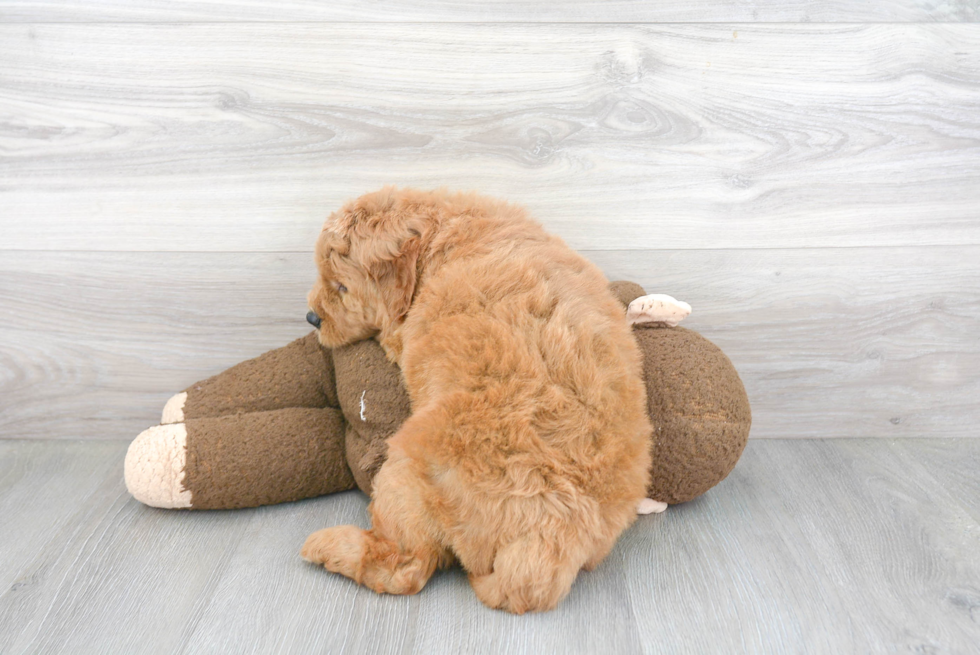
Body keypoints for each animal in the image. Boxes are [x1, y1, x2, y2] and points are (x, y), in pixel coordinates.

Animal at [298, 186, 652, 616]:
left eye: (341, 287)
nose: (311, 318)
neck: (442, 236)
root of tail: (549, 542)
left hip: (406, 472)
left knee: (403, 566)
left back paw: (328, 547)